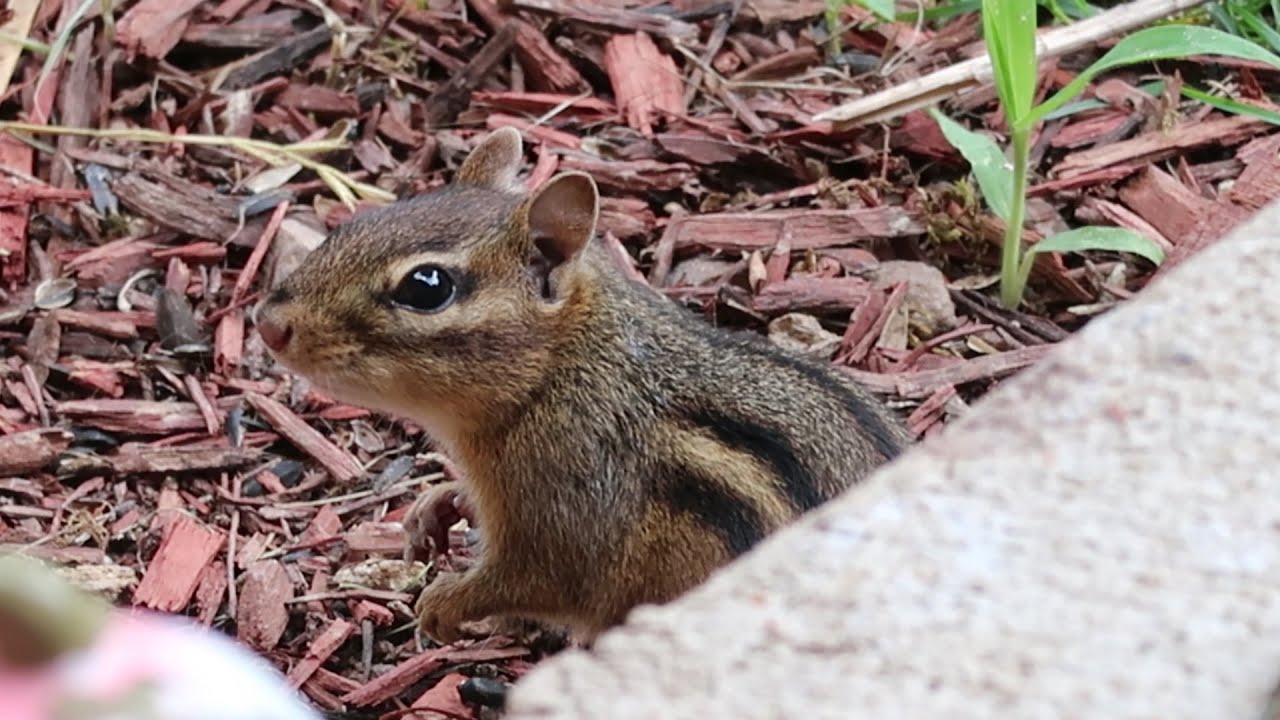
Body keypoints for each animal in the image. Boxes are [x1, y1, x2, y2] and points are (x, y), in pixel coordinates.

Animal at [252, 127, 913, 645]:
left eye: (426, 286)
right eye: (359, 222)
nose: (268, 323)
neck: (559, 374)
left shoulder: (565, 514)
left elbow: (532, 579)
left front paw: (442, 605)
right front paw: (433, 508)